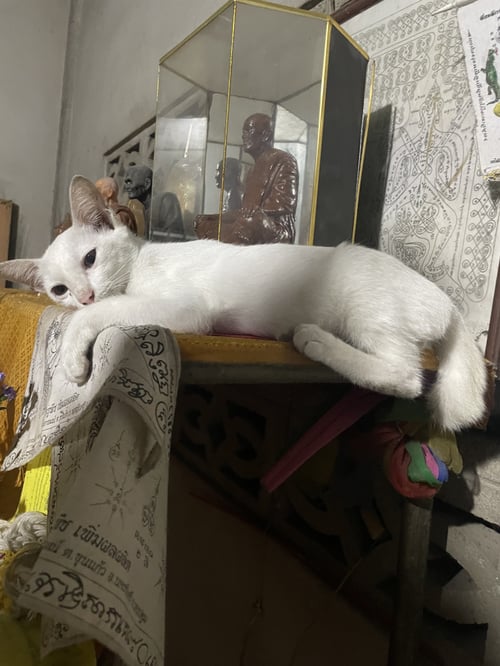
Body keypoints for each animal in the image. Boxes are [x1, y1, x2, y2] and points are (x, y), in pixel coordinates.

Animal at [0, 176, 488, 432]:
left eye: (91, 258)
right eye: (58, 290)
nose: (82, 295)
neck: (139, 263)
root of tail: (447, 303)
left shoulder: (186, 308)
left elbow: (104, 313)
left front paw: (72, 355)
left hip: (365, 308)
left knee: (405, 376)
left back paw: (313, 340)